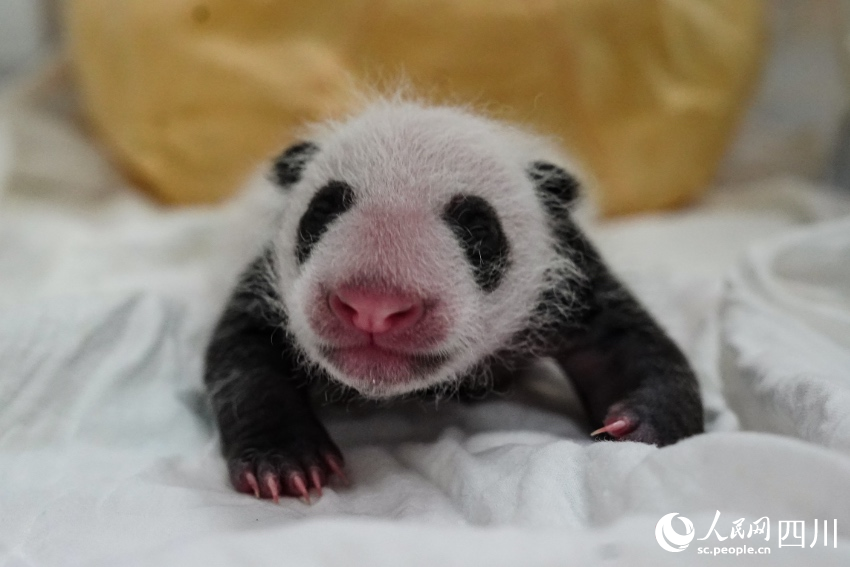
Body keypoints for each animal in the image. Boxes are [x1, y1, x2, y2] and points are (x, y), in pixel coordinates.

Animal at [204, 100, 704, 503]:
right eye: (323, 211)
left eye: (477, 228)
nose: (373, 306)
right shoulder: (271, 282)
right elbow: (243, 355)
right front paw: (283, 462)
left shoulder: (564, 276)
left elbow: (626, 343)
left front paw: (641, 427)